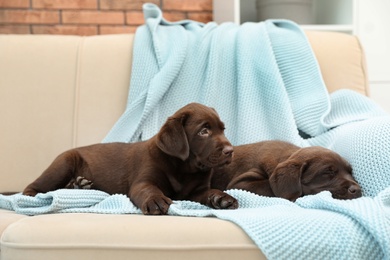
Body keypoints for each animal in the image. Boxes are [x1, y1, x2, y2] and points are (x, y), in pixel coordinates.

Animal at [24, 102, 239, 214]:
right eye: (203, 131)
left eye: (222, 129)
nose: (230, 150)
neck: (184, 168)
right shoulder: (143, 181)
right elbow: (148, 189)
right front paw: (156, 200)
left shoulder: (196, 191)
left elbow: (210, 191)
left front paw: (222, 198)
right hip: (64, 162)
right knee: (33, 187)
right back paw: (35, 198)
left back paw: (79, 185)